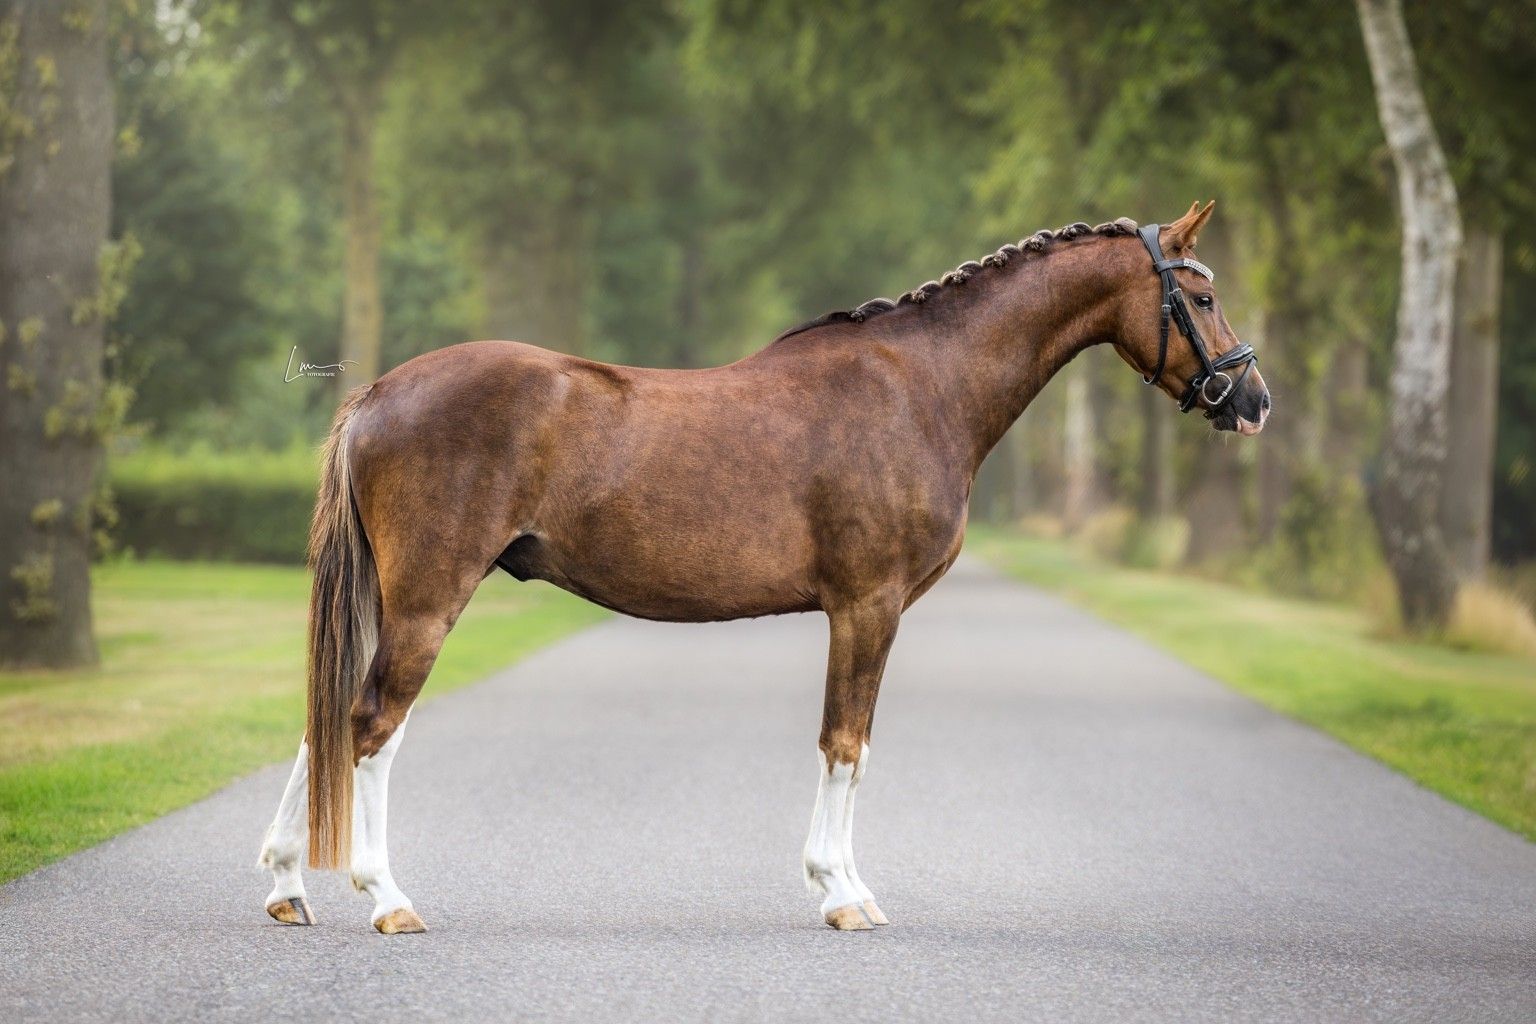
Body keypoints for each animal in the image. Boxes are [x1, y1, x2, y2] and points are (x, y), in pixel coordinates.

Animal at [257, 201, 1269, 933]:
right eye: (1201, 298)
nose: (1253, 399)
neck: (924, 386)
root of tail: (381, 392)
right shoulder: (868, 606)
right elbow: (846, 744)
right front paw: (843, 894)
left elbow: (849, 744)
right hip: (428, 600)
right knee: (371, 724)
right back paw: (386, 899)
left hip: (389, 600)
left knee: (327, 718)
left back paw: (286, 885)